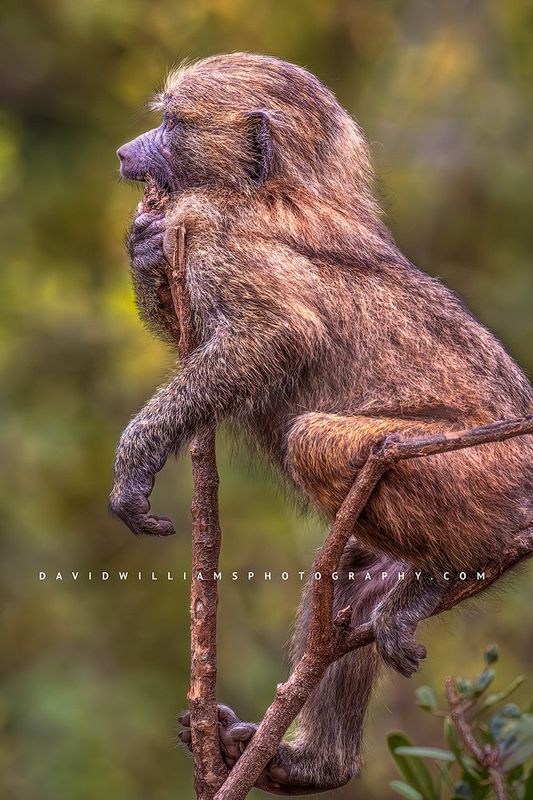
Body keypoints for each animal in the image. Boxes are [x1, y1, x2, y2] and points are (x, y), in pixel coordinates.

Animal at [112, 53, 533, 794]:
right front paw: (144, 248)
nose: (124, 154)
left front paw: (137, 464)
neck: (281, 183)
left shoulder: (215, 228)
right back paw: (315, 763)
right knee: (350, 585)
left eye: (172, 122)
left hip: (477, 470)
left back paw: (438, 579)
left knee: (314, 441)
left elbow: (275, 335)